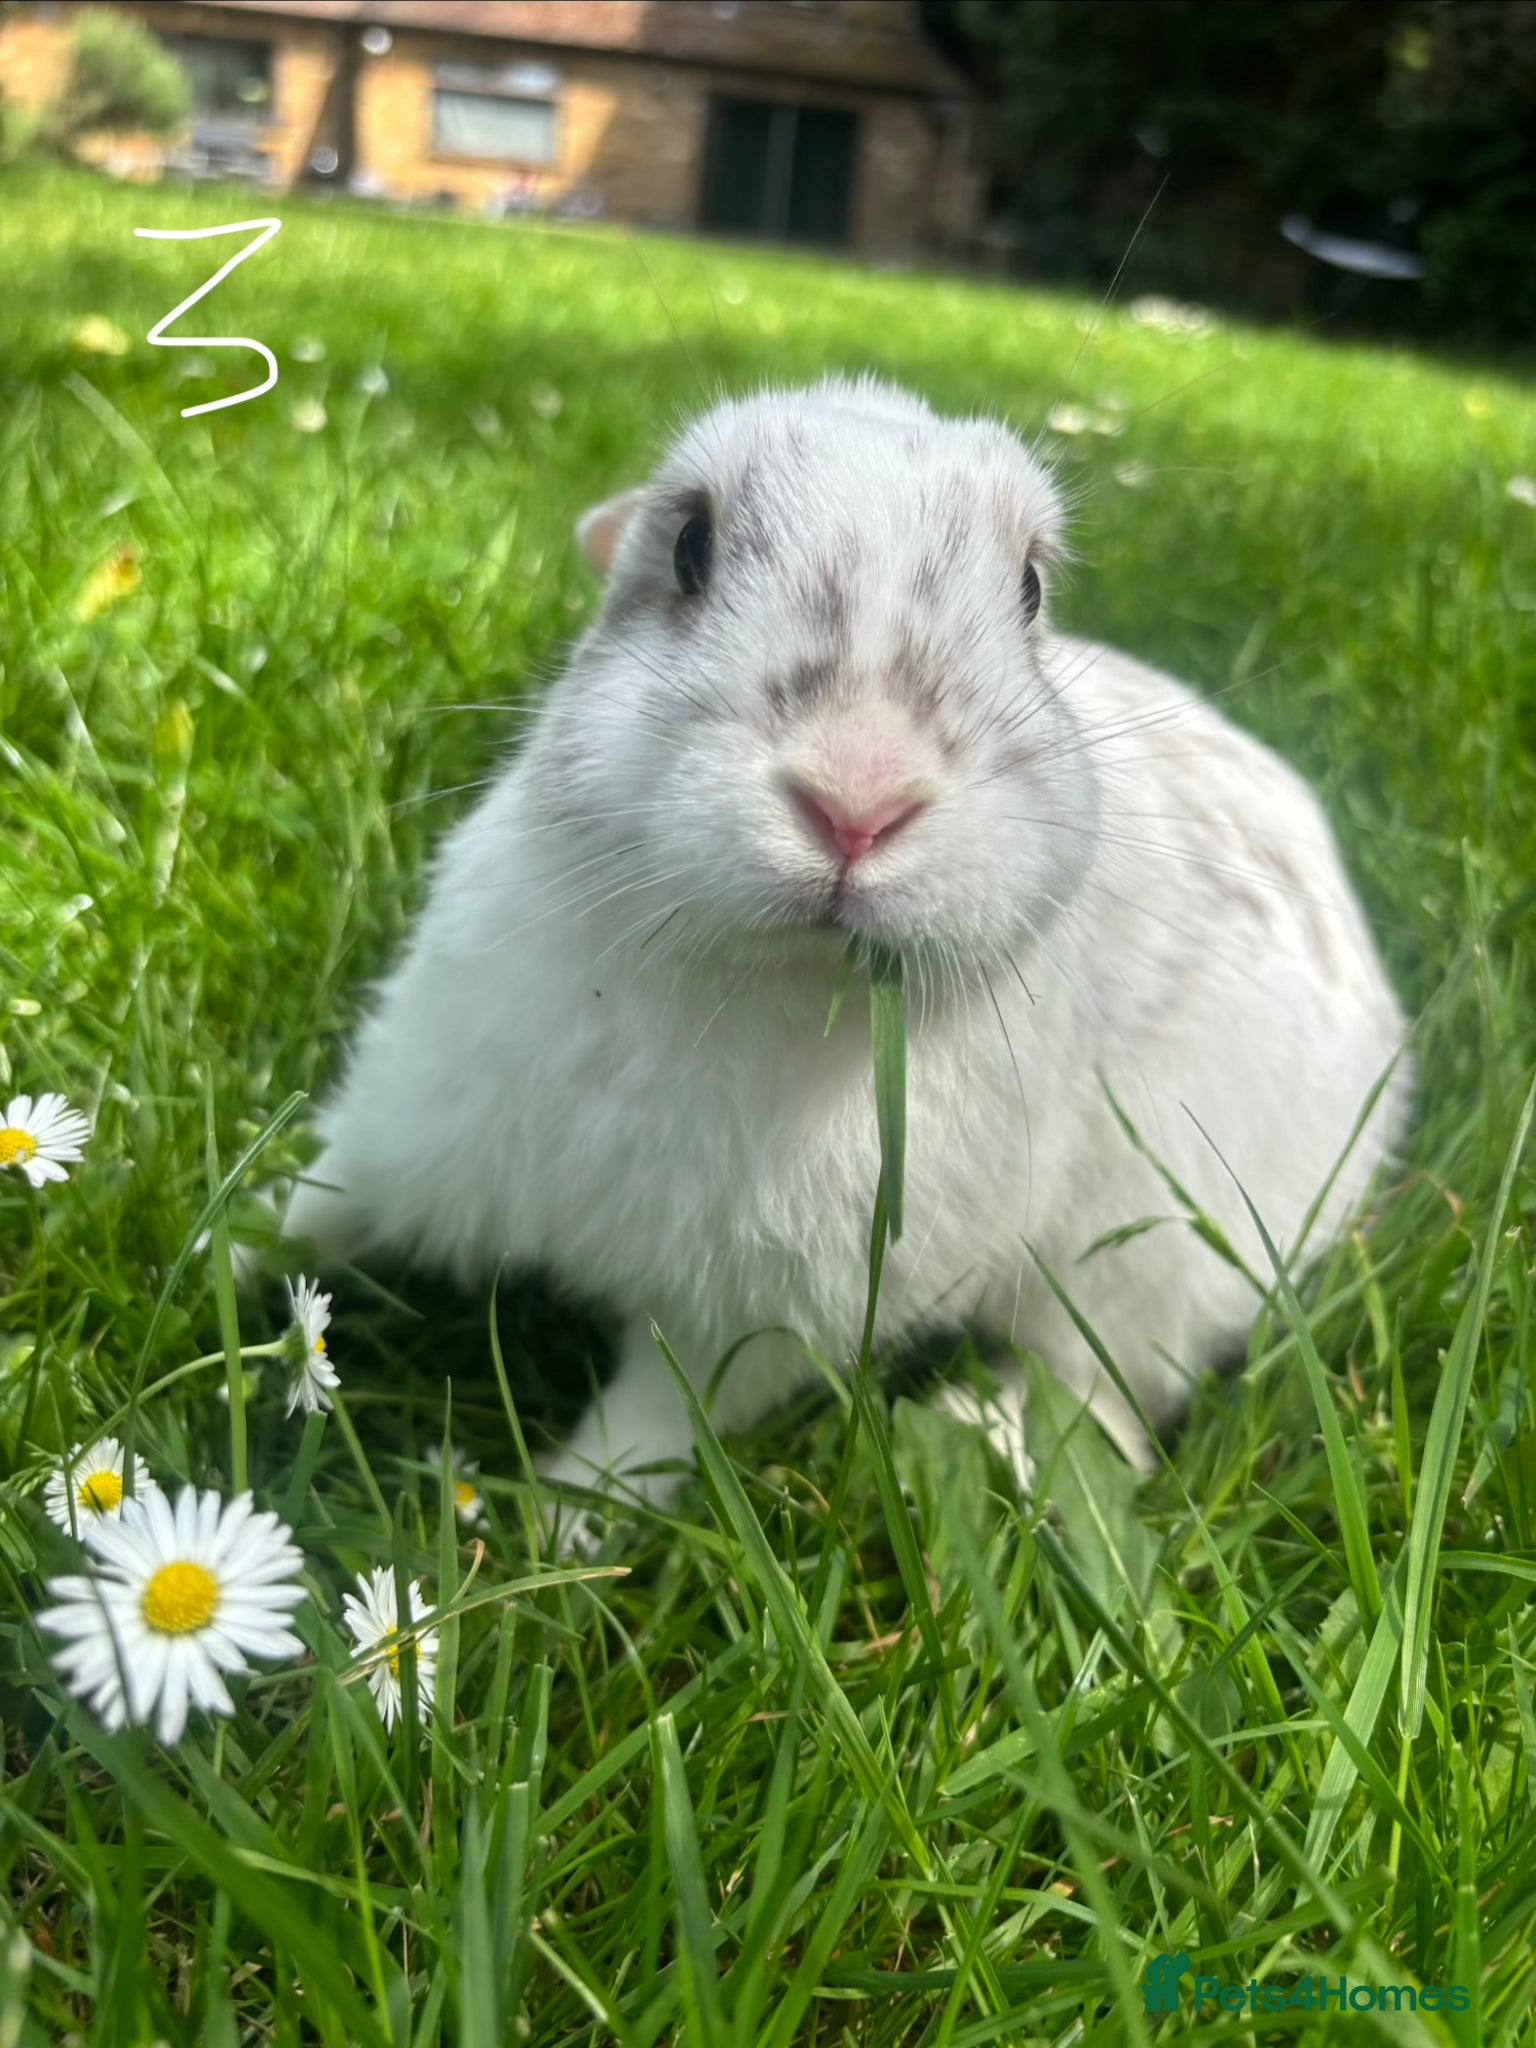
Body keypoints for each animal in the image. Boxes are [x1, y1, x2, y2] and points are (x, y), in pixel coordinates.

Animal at [276, 374, 1412, 1527]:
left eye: (1030, 590)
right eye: (689, 545)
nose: (858, 797)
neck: (750, 983)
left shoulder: (746, 1324)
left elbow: (652, 1424)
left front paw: (566, 1521)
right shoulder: (404, 1132)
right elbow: (313, 1219)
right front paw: (230, 1256)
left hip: (1149, 1268)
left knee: (1103, 1402)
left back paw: (981, 1431)